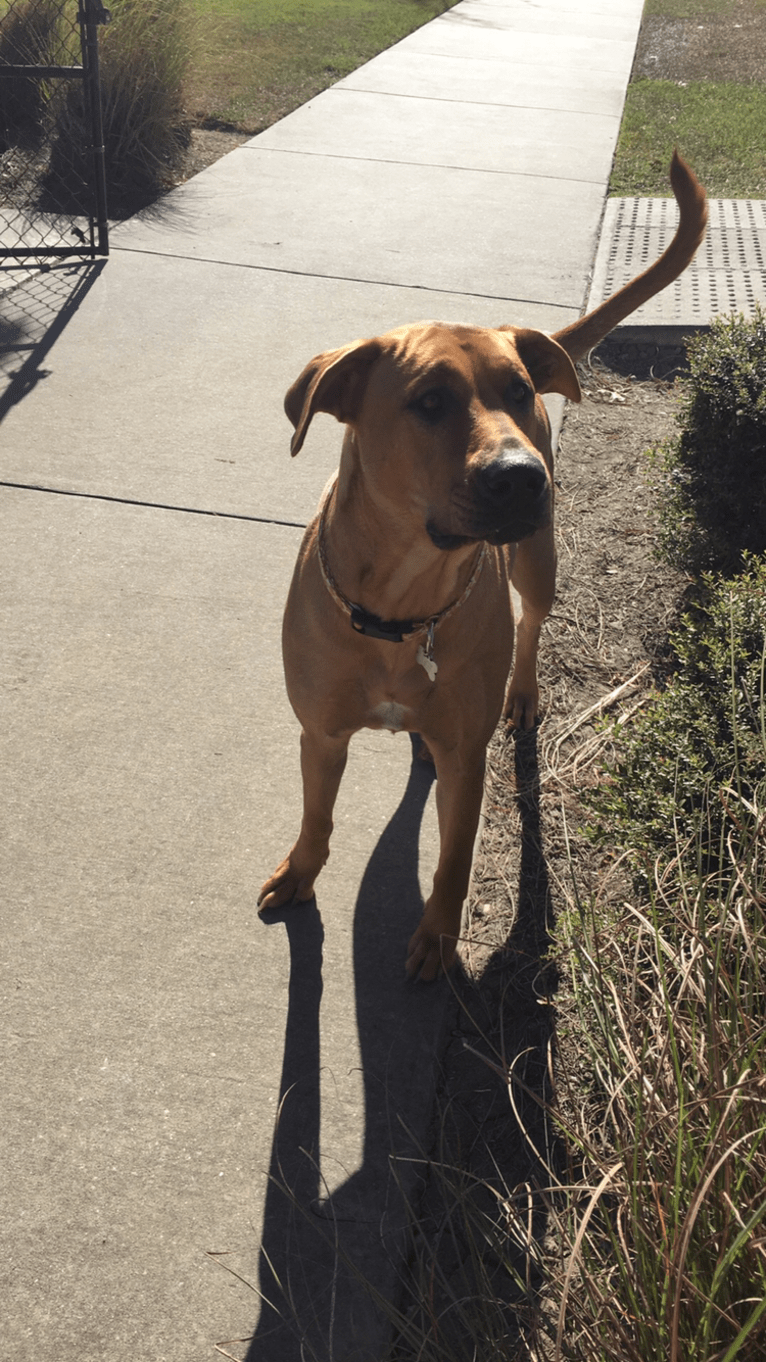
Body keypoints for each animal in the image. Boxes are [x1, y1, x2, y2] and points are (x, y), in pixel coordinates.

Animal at [256, 151, 703, 980]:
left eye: (518, 392)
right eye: (429, 401)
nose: (522, 476)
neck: (403, 605)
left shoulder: (467, 755)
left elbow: (455, 857)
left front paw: (438, 935)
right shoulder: (321, 734)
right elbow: (317, 816)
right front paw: (300, 872)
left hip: (539, 559)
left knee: (531, 625)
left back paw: (521, 692)